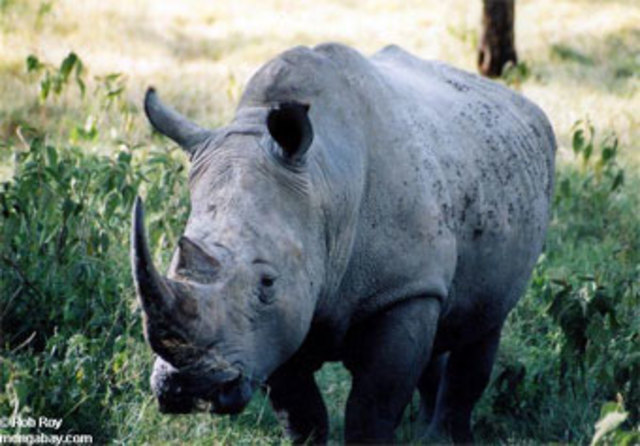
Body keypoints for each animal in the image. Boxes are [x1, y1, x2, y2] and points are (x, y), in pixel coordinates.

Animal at [131, 43, 556, 443]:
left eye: (267, 283)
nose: (186, 387)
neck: (323, 186)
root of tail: (522, 102)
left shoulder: (400, 290)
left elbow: (371, 410)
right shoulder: (280, 320)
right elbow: (301, 416)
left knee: (485, 326)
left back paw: (443, 438)